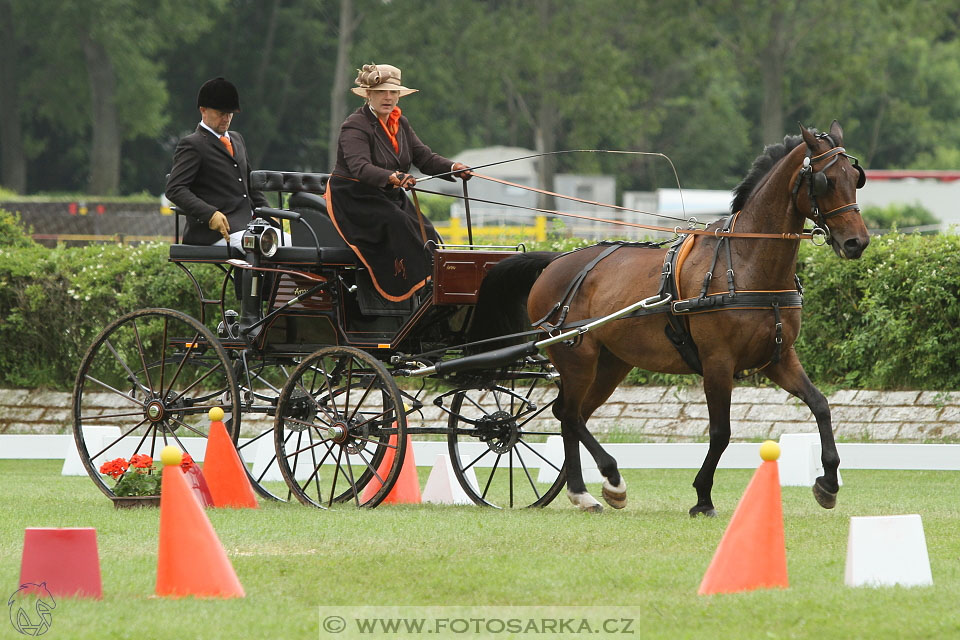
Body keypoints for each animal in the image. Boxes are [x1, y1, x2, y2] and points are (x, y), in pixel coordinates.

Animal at [472, 121, 872, 516]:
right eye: (825, 180)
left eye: (855, 177)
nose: (857, 243)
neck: (745, 263)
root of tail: (555, 261)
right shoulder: (717, 361)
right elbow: (721, 432)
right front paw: (703, 496)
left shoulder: (778, 358)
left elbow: (820, 405)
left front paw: (828, 482)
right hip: (577, 358)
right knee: (569, 414)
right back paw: (608, 481)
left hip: (610, 364)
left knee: (571, 415)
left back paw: (584, 492)